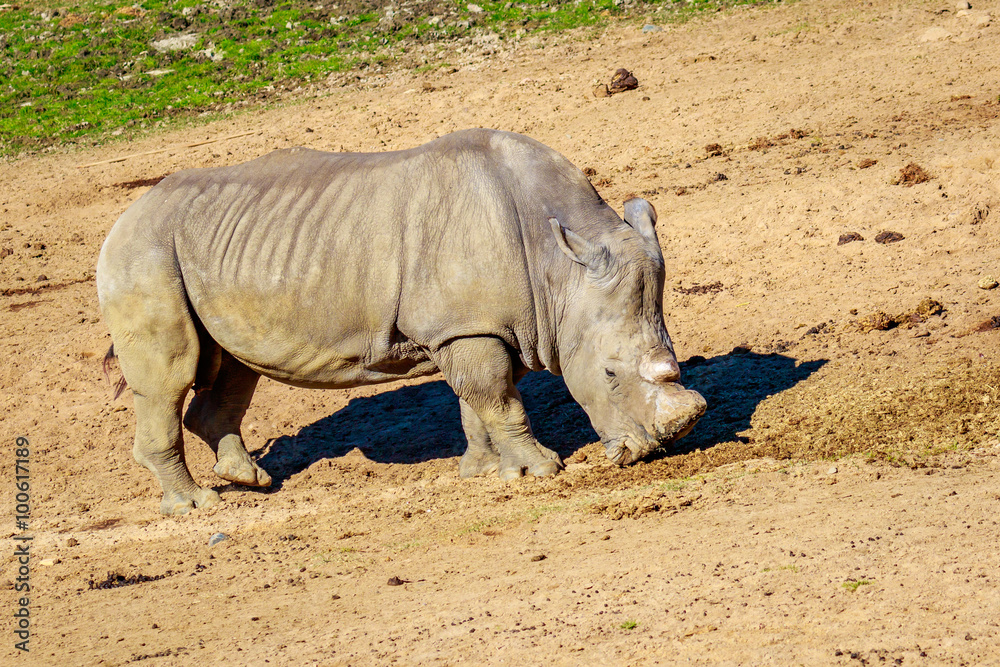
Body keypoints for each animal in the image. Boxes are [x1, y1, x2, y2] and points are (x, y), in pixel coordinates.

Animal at [97, 128, 706, 515]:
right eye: (608, 375)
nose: (660, 446)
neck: (559, 270)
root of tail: (120, 221)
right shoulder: (469, 325)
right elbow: (497, 396)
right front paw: (540, 470)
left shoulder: (475, 324)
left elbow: (478, 398)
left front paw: (484, 471)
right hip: (143, 255)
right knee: (169, 378)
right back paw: (193, 506)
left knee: (234, 369)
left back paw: (250, 480)